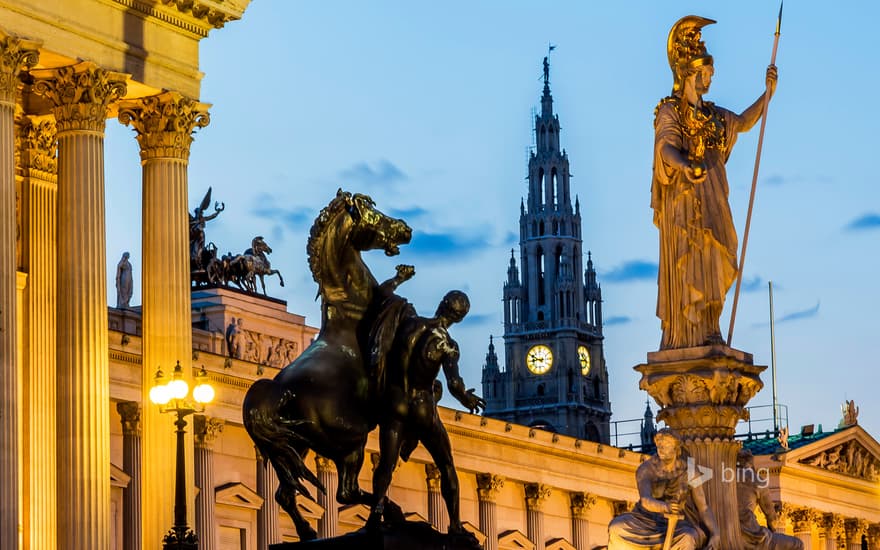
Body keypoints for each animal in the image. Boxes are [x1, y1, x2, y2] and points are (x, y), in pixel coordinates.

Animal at [242, 192, 410, 540]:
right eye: (373, 214)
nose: (405, 228)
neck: (350, 309)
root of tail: (275, 392)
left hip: (295, 447)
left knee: (285, 494)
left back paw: (308, 532)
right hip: (350, 442)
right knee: (345, 492)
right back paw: (392, 515)